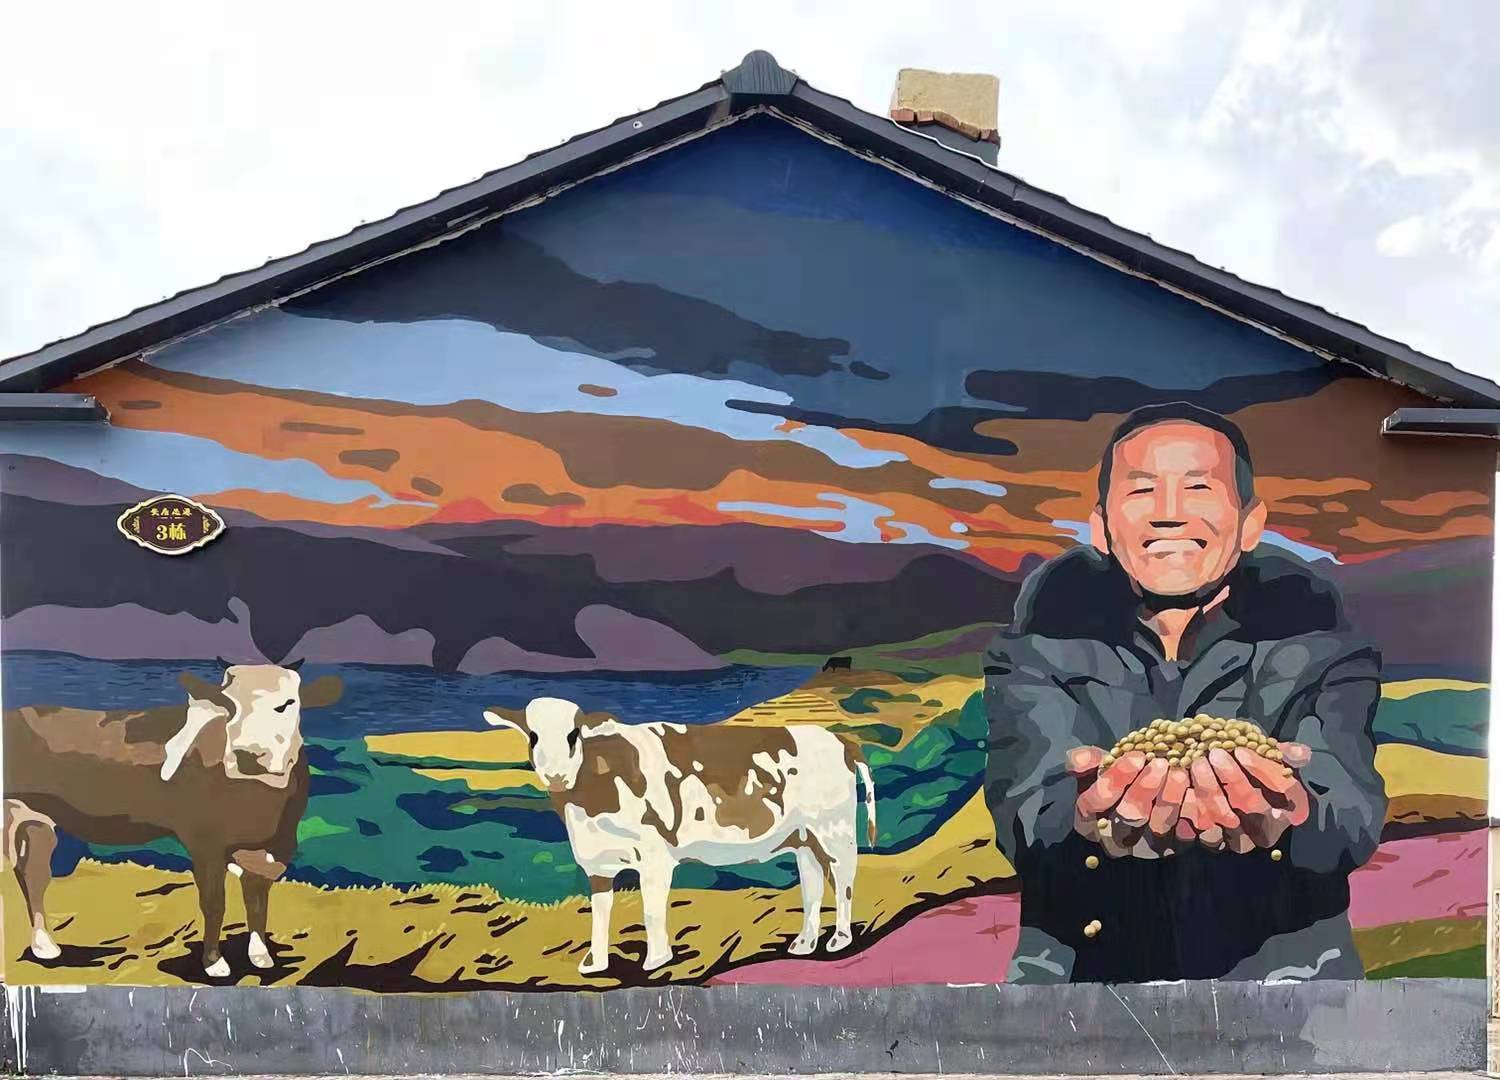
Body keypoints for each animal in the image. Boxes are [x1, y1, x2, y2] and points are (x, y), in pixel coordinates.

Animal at [2, 661, 341, 979]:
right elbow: (214, 903)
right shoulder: (205, 841)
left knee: (33, 875)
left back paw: (45, 946)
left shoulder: (274, 845)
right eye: (226, 706)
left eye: (287, 703)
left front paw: (261, 955)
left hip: (37, 821)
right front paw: (214, 963)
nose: (246, 755)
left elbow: (257, 900)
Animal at [483, 697, 877, 974]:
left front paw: (656, 959)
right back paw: (805, 943)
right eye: (533, 736)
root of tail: (839, 739)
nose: (556, 775)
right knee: (813, 885)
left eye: (573, 734)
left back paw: (840, 939)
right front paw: (595, 963)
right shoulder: (597, 864)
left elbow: (651, 911)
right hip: (804, 838)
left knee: (844, 880)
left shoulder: (655, 858)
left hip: (834, 830)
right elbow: (600, 913)